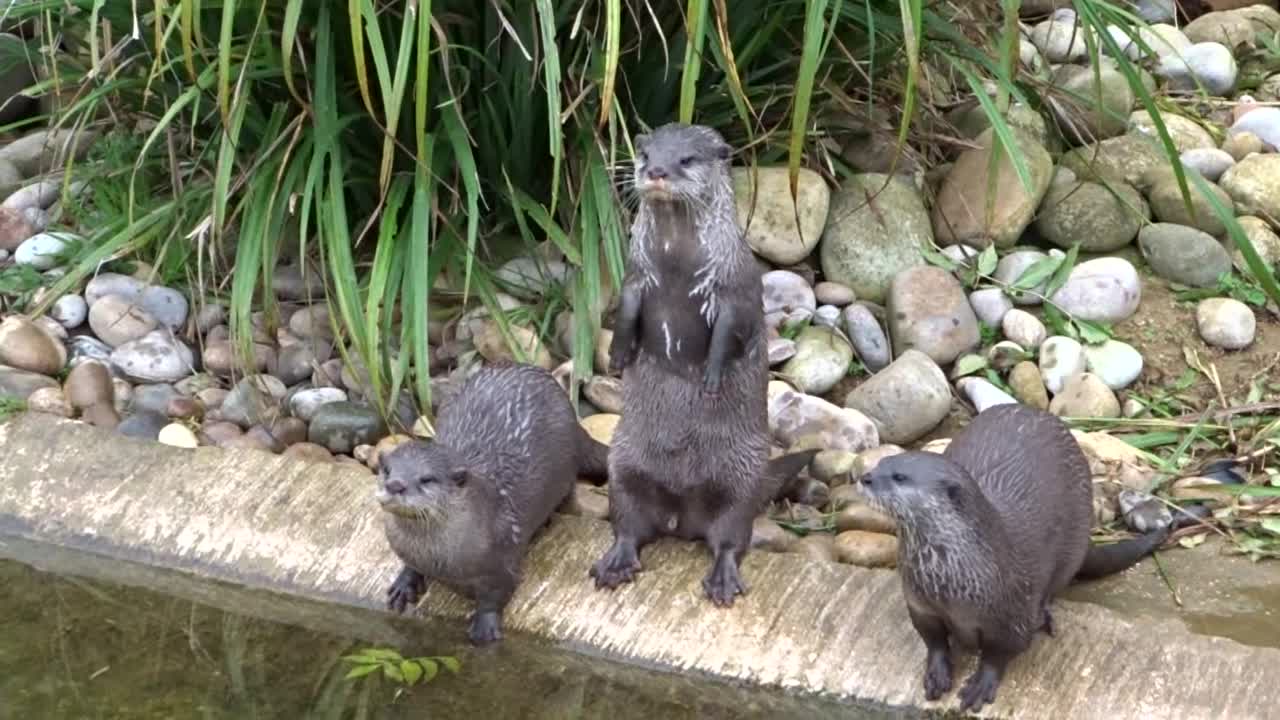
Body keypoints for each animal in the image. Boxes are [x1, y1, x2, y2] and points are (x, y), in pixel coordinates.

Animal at [373, 361, 609, 640]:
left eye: (426, 479)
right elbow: (410, 565)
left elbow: (495, 595)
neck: (437, 559)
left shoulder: (502, 563)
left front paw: (484, 627)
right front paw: (404, 584)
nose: (395, 485)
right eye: (387, 470)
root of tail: (574, 421)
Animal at [586, 122, 808, 604]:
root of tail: (681, 514)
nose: (656, 171)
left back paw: (722, 581)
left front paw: (711, 377)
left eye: (686, 159)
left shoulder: (735, 288)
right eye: (645, 153)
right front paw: (617, 356)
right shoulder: (635, 277)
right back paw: (615, 564)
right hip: (623, 464)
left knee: (729, 538)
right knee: (628, 525)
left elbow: (729, 333)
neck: (676, 263)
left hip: (741, 481)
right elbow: (625, 313)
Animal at [860, 404, 1172, 712]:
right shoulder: (920, 604)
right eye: (882, 463)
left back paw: (1046, 617)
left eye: (900, 477)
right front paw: (937, 672)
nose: (865, 478)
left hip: (1074, 543)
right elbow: (932, 639)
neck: (952, 584)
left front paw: (982, 684)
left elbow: (1001, 652)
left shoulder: (1012, 616)